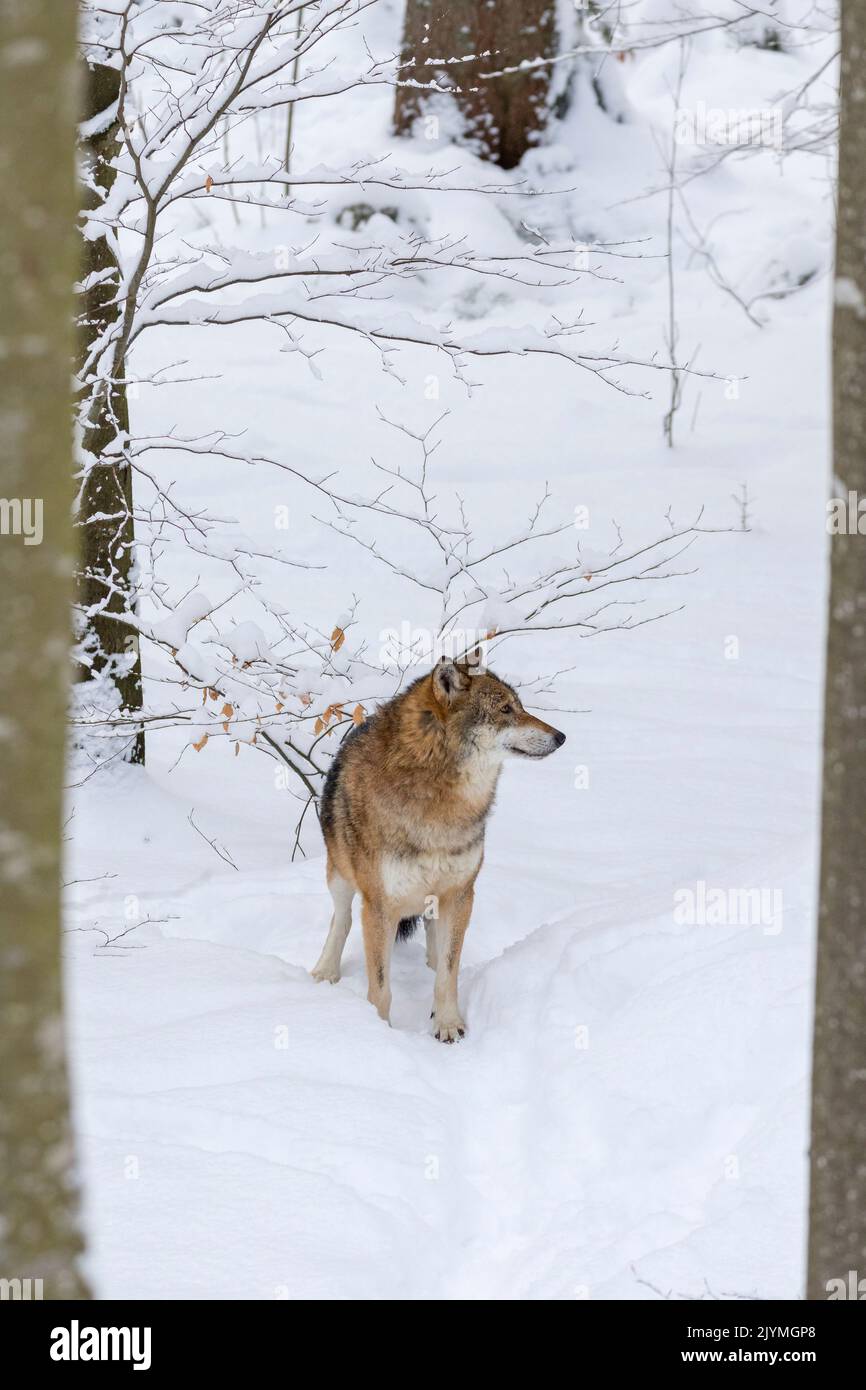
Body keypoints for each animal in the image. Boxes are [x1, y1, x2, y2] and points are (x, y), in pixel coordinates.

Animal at [312, 656, 565, 1041]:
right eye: (506, 709)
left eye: (519, 707)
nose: (561, 737)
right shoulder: (379, 906)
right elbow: (380, 986)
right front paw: (379, 1033)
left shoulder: (461, 894)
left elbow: (449, 971)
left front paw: (447, 1024)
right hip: (340, 873)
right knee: (341, 919)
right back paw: (325, 971)